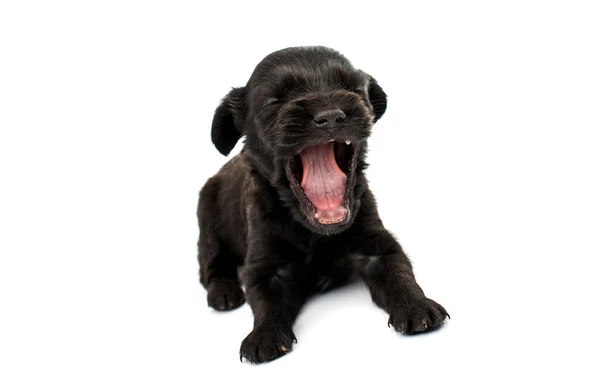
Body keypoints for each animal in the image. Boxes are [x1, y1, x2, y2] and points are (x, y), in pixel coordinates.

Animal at [199, 46, 448, 362]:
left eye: (352, 89)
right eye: (276, 100)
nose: (330, 116)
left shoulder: (378, 246)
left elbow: (399, 273)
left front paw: (417, 306)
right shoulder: (264, 268)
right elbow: (265, 301)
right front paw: (265, 336)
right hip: (207, 221)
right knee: (211, 265)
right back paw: (223, 293)